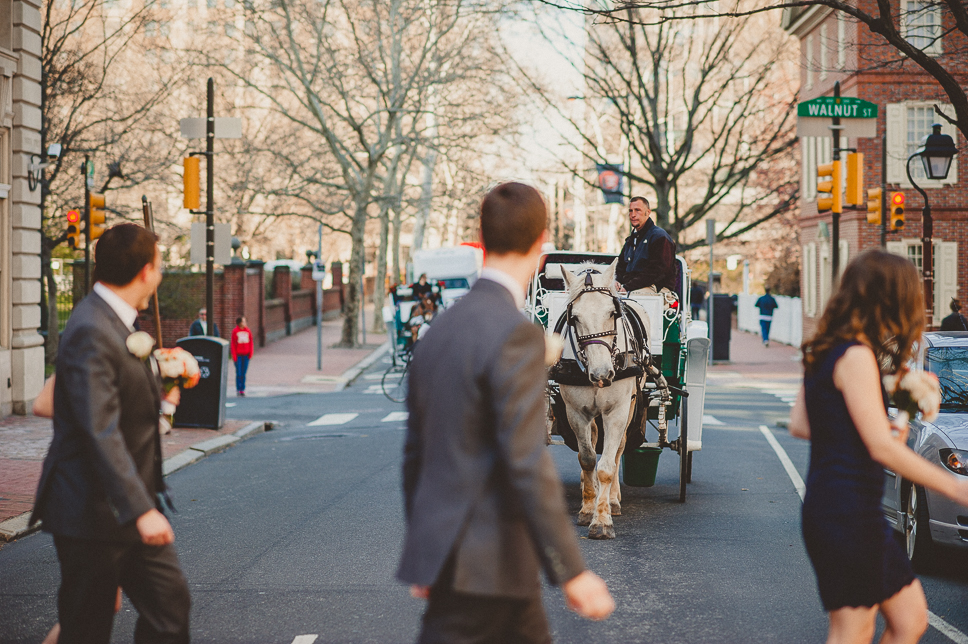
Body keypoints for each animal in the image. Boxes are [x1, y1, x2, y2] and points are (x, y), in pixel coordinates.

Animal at [556, 260, 668, 540]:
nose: (602, 374)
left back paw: (613, 500)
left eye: (612, 313)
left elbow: (607, 465)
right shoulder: (576, 412)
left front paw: (603, 520)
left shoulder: (617, 411)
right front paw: (588, 509)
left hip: (629, 407)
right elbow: (587, 458)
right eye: (575, 318)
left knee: (618, 450)